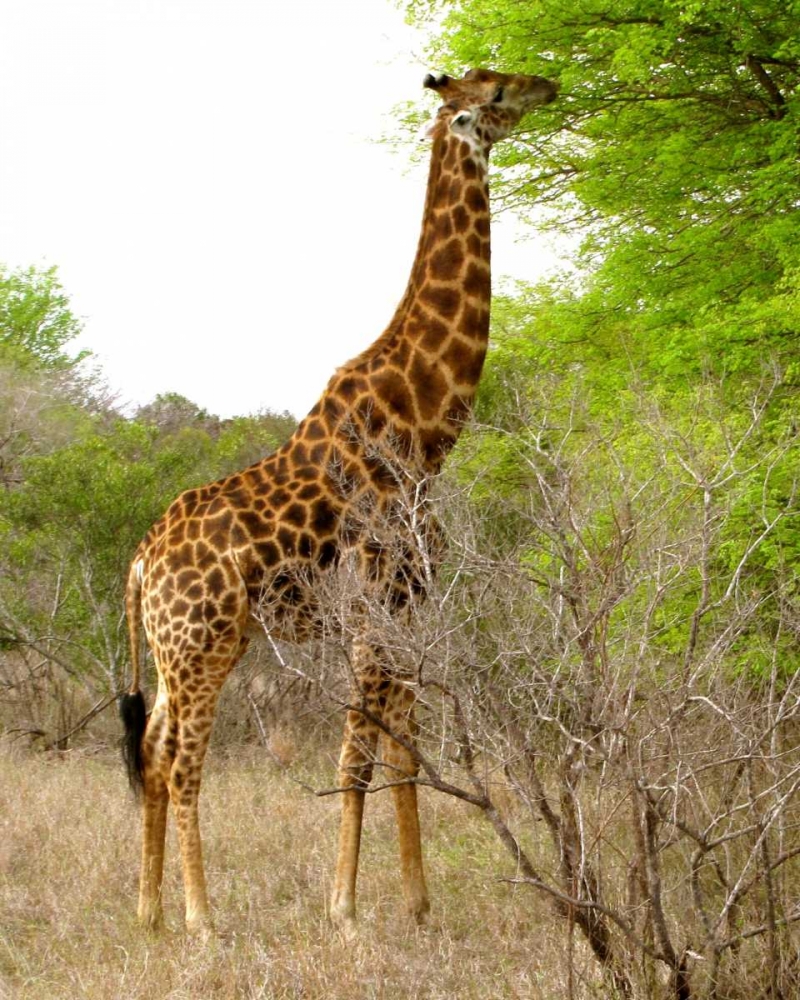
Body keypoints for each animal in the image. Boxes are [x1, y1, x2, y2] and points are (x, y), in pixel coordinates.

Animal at [120, 67, 558, 936]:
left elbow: (404, 753)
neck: (424, 426)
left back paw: (150, 912)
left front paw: (420, 905)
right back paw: (202, 920)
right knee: (183, 760)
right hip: (205, 644)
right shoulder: (369, 604)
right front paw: (345, 909)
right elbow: (356, 753)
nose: (551, 83)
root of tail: (143, 563)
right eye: (496, 92)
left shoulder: (410, 606)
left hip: (175, 649)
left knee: (151, 749)